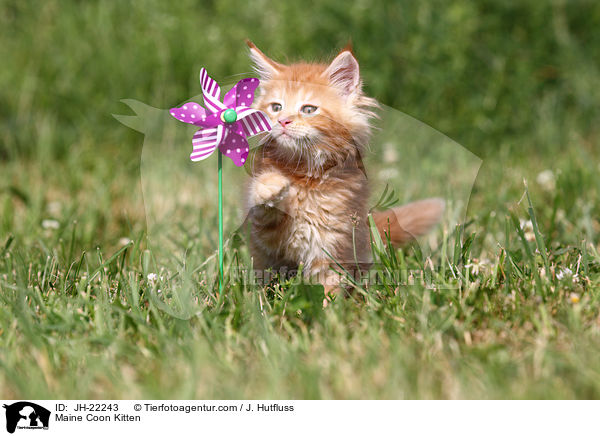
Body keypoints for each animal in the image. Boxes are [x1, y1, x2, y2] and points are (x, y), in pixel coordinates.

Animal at [244, 41, 446, 298]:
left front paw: (328, 308)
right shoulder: (265, 240)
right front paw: (272, 185)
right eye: (276, 107)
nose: (282, 121)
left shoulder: (332, 246)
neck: (305, 173)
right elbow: (263, 202)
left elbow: (326, 290)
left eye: (308, 109)